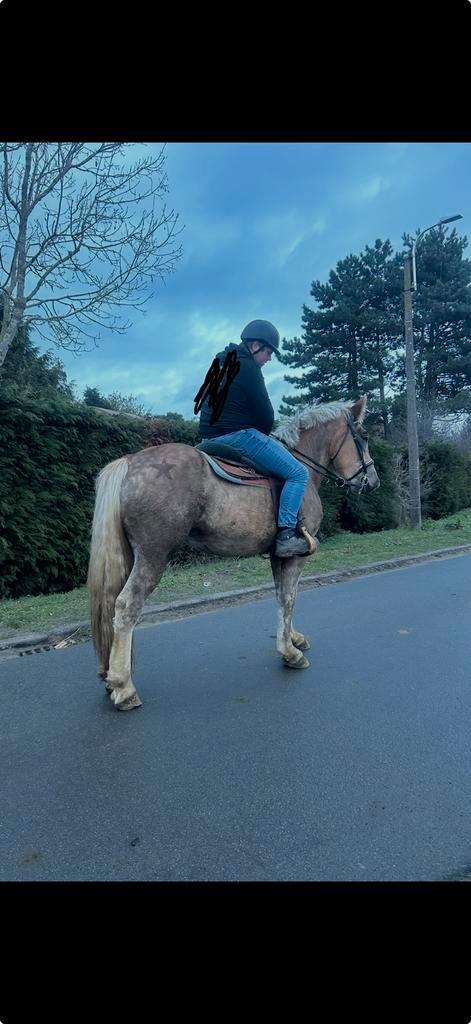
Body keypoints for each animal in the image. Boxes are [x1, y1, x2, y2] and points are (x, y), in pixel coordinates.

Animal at [87, 395, 379, 710]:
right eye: (364, 436)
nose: (373, 481)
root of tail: (129, 462)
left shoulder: (278, 556)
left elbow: (282, 596)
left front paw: (293, 639)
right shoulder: (295, 555)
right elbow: (289, 597)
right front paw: (289, 653)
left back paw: (111, 676)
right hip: (153, 556)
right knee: (126, 606)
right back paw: (123, 686)